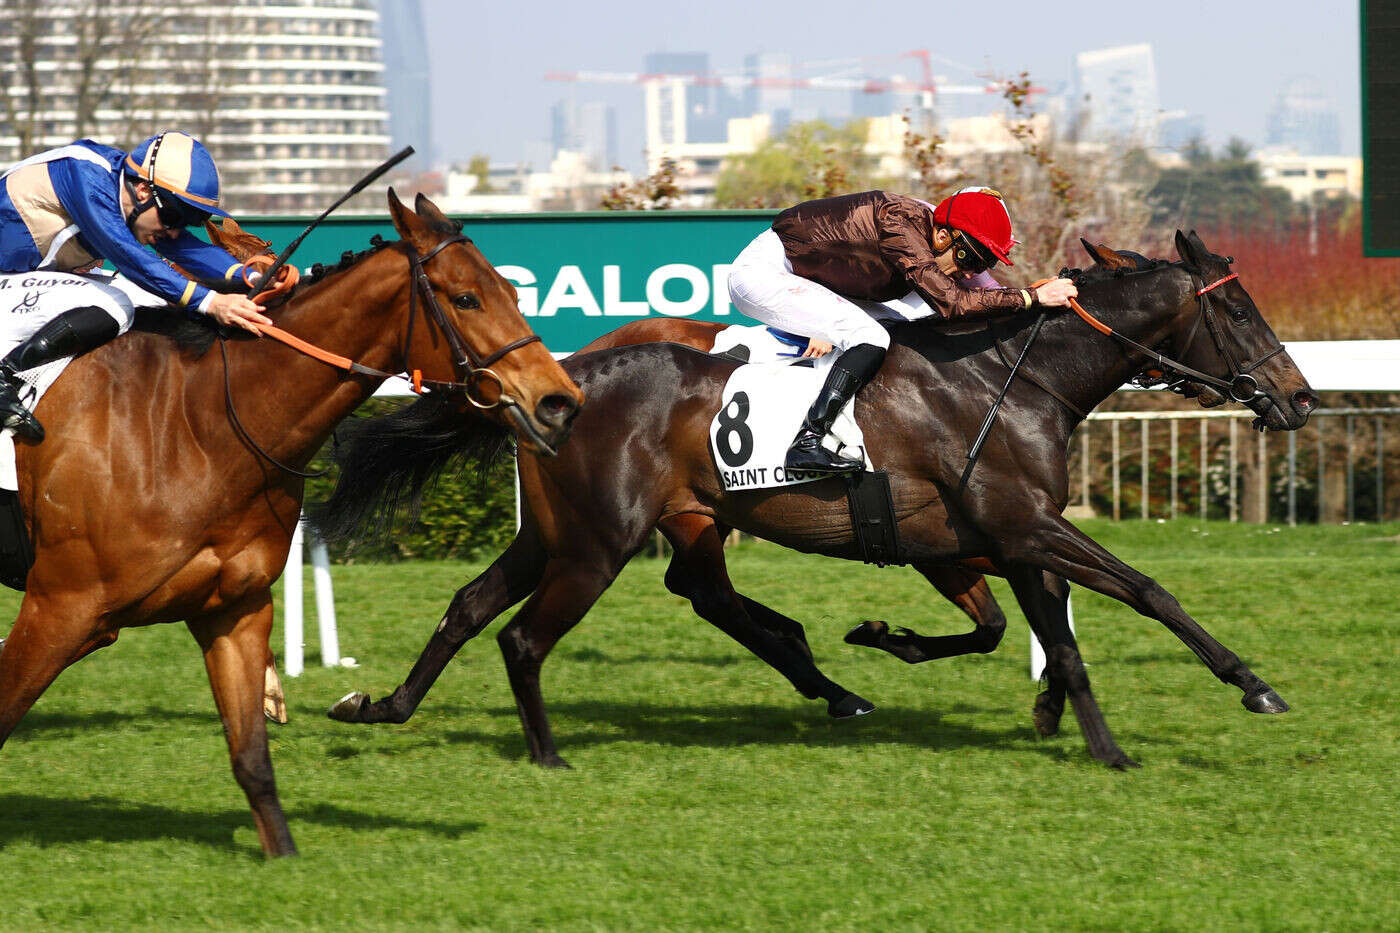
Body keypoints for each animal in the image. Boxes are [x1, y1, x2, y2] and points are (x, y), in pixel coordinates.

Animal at [0, 190, 585, 857]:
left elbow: (252, 757)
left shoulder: (234, 608)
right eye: (466, 298)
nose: (560, 401)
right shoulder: (62, 607)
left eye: (513, 293)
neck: (195, 423)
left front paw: (282, 852)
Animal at [317, 232, 1310, 767]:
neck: (1006, 376)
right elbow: (1146, 591)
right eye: (1240, 312)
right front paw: (1251, 686)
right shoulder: (1020, 526)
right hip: (601, 541)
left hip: (566, 532)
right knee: (533, 632)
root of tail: (562, 379)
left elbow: (1047, 636)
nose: (1297, 398)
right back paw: (551, 746)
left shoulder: (1012, 534)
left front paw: (1072, 729)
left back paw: (382, 705)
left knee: (472, 603)